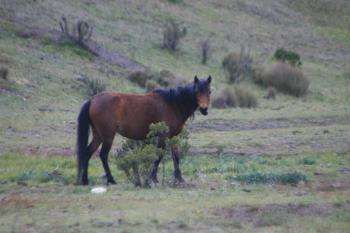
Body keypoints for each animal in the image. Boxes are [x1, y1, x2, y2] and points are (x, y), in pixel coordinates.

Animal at [77, 75, 212, 185]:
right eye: (197, 91)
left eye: (209, 91)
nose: (204, 109)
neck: (173, 104)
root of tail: (92, 100)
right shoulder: (163, 135)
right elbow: (159, 155)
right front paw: (153, 178)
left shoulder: (174, 136)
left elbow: (176, 156)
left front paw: (179, 178)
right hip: (108, 136)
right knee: (103, 155)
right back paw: (111, 180)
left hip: (98, 135)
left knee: (87, 153)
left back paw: (85, 180)